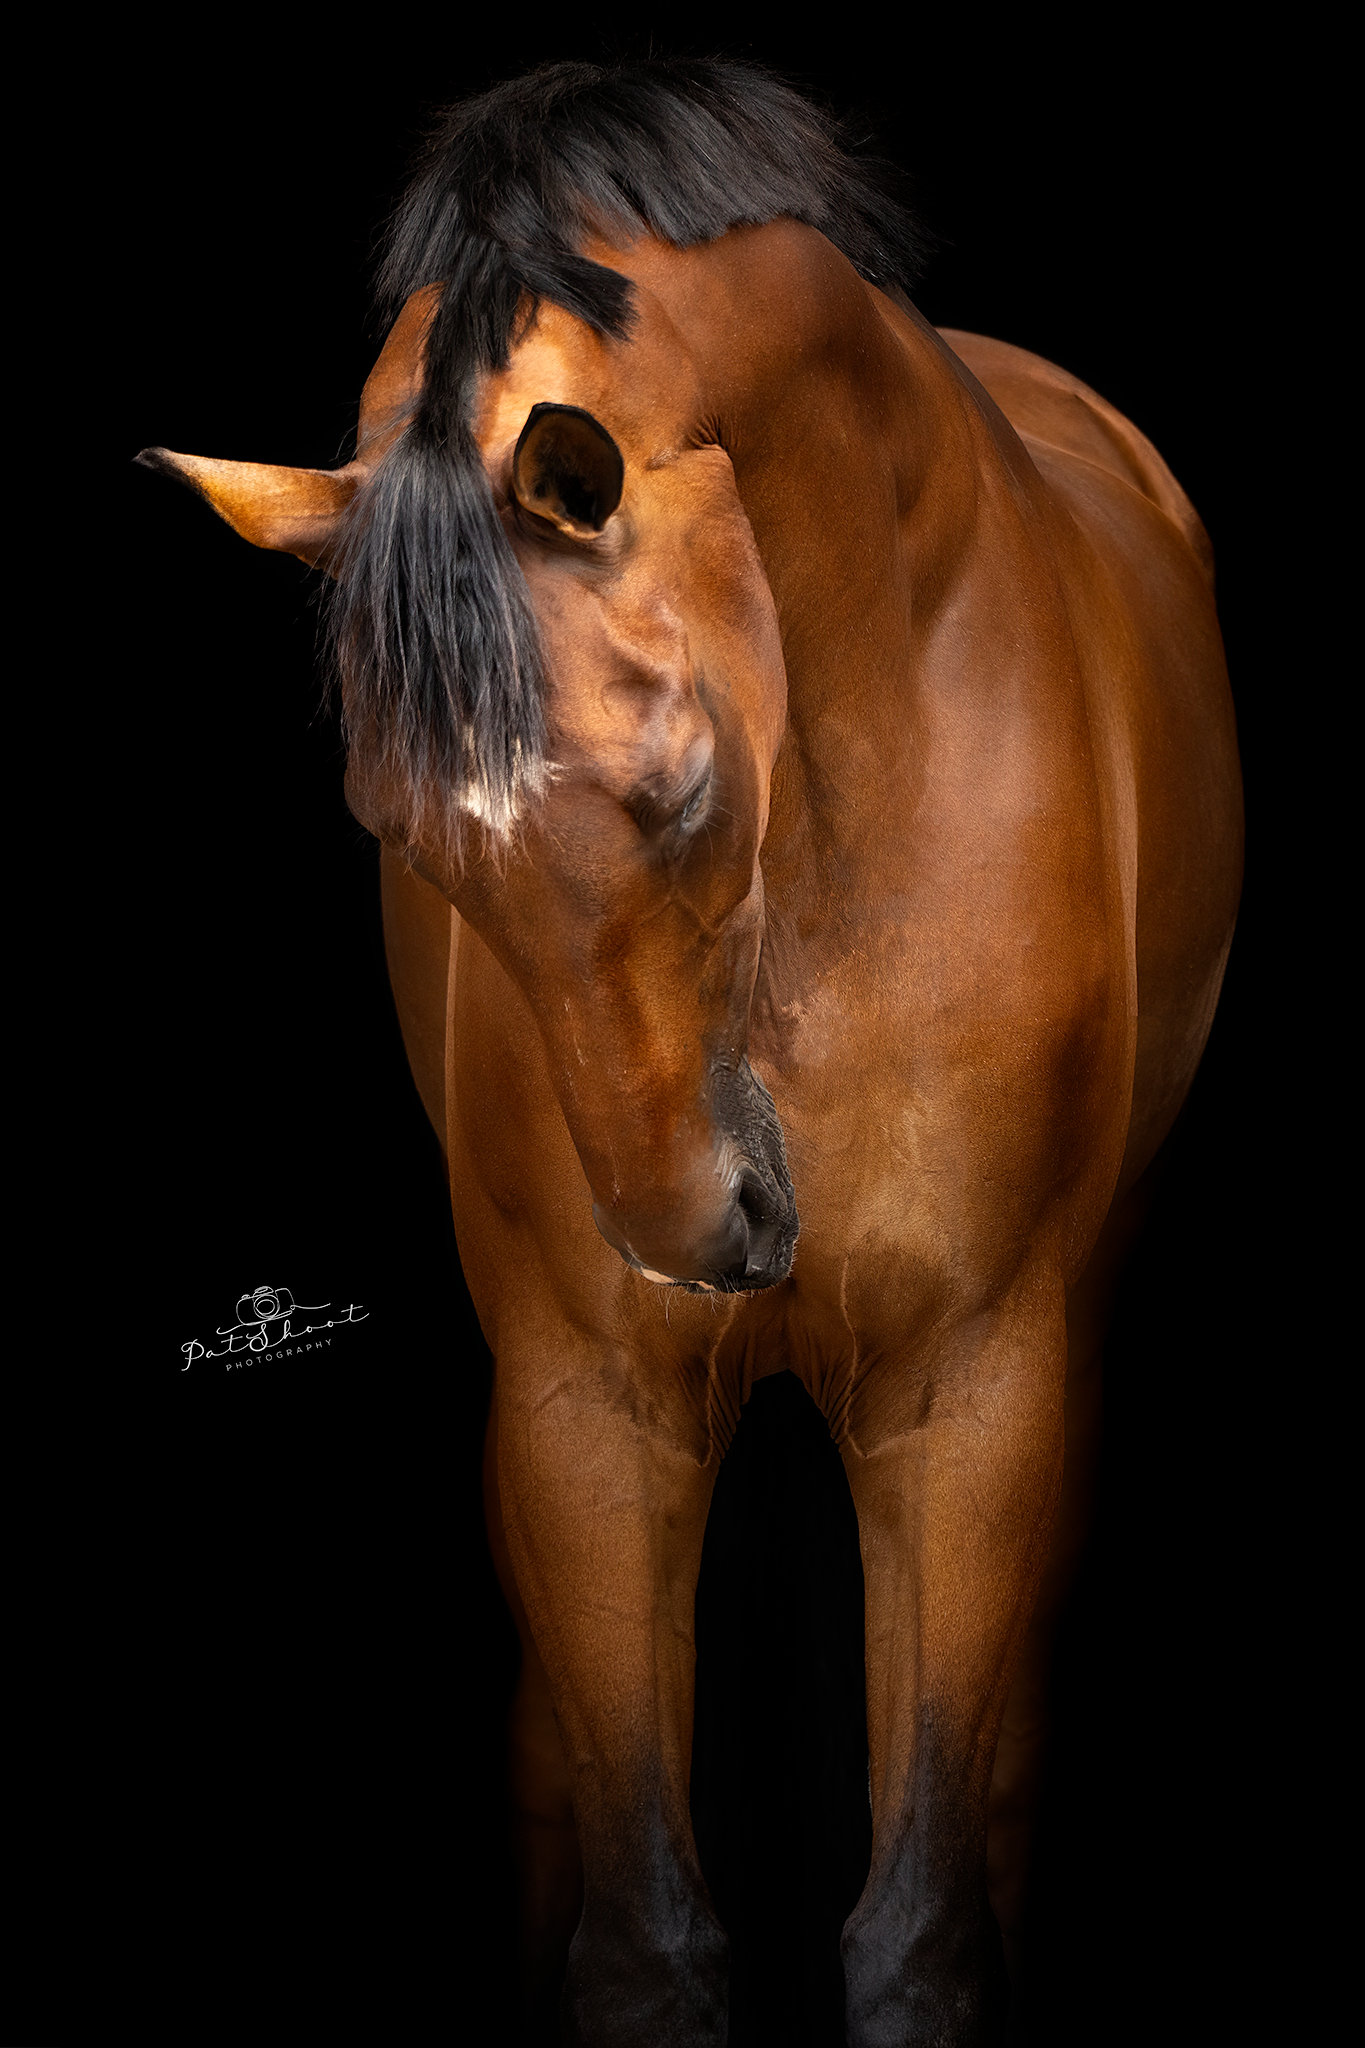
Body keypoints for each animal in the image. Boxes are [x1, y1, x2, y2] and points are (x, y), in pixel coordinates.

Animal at [140, 59, 1243, 2046]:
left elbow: (920, 1931)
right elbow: (644, 1937)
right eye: (406, 839)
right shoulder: (594, 1402)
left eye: (687, 790)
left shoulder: (969, 1388)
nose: (703, 1231)